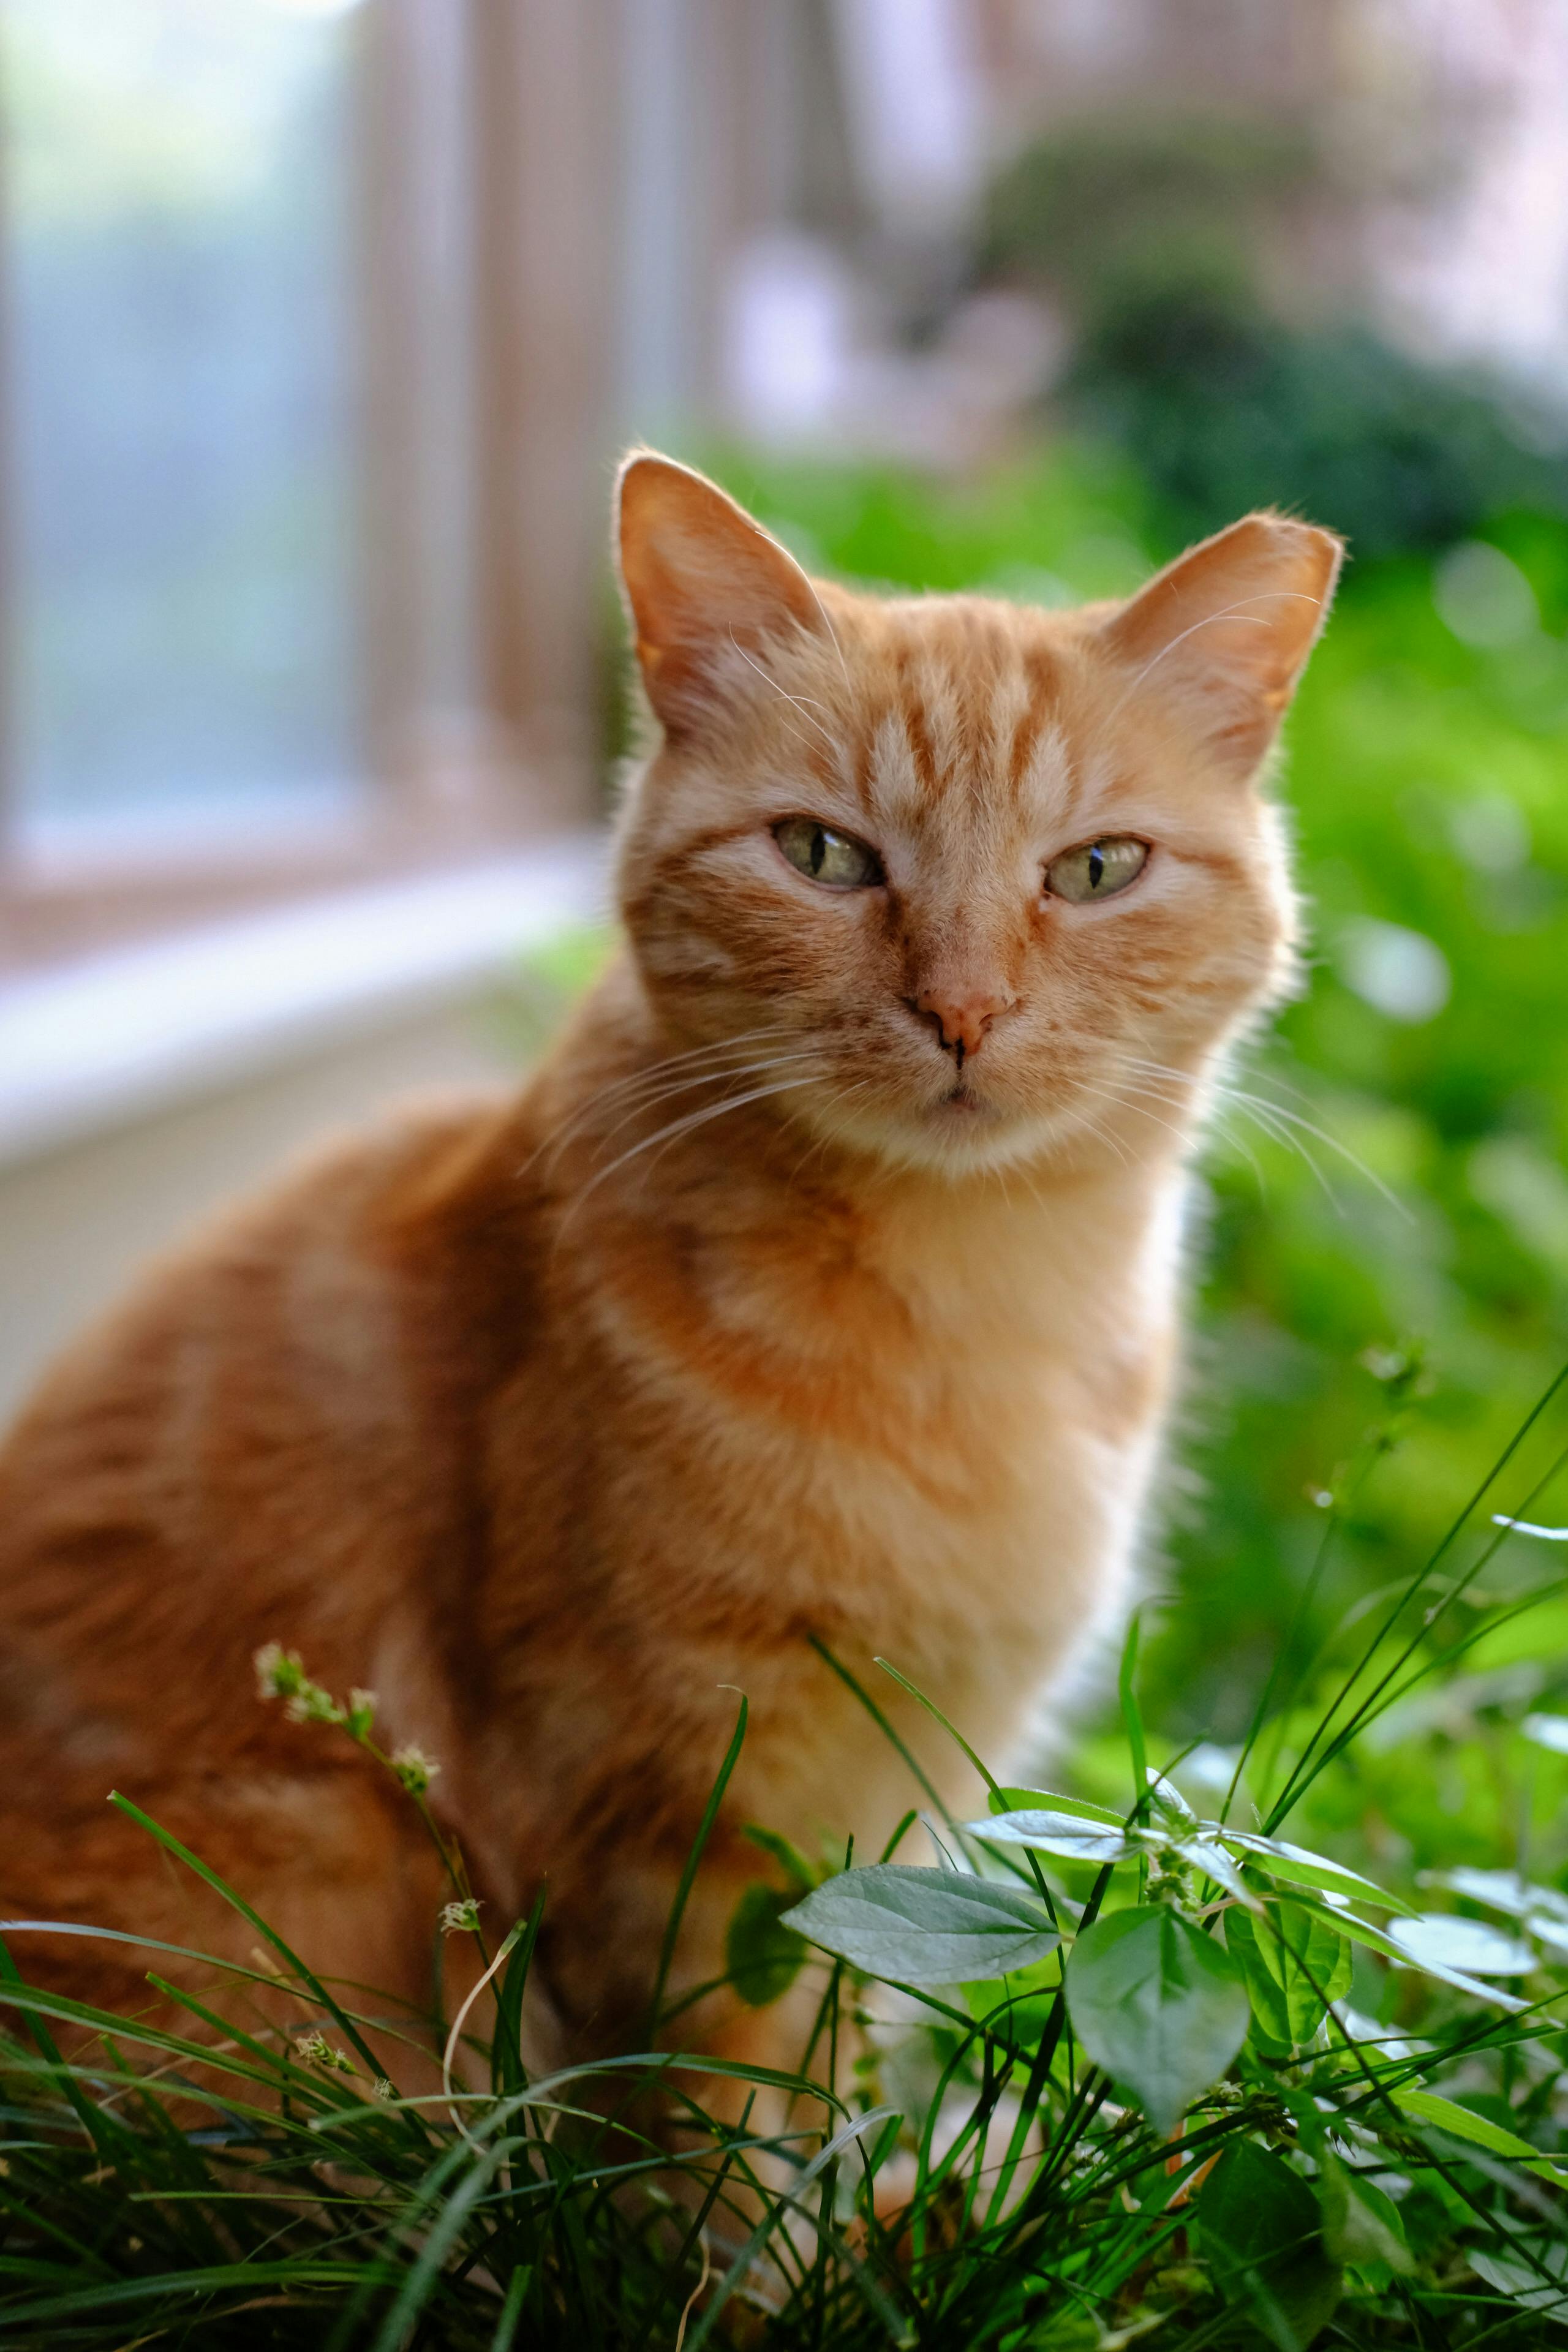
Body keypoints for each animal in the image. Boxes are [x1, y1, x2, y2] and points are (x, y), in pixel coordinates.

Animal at [0, 449, 1335, 2088]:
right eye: (821, 853)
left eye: (1095, 869)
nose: (960, 1010)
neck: (976, 1307)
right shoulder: (670, 1821)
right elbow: (728, 2117)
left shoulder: (891, 1827)